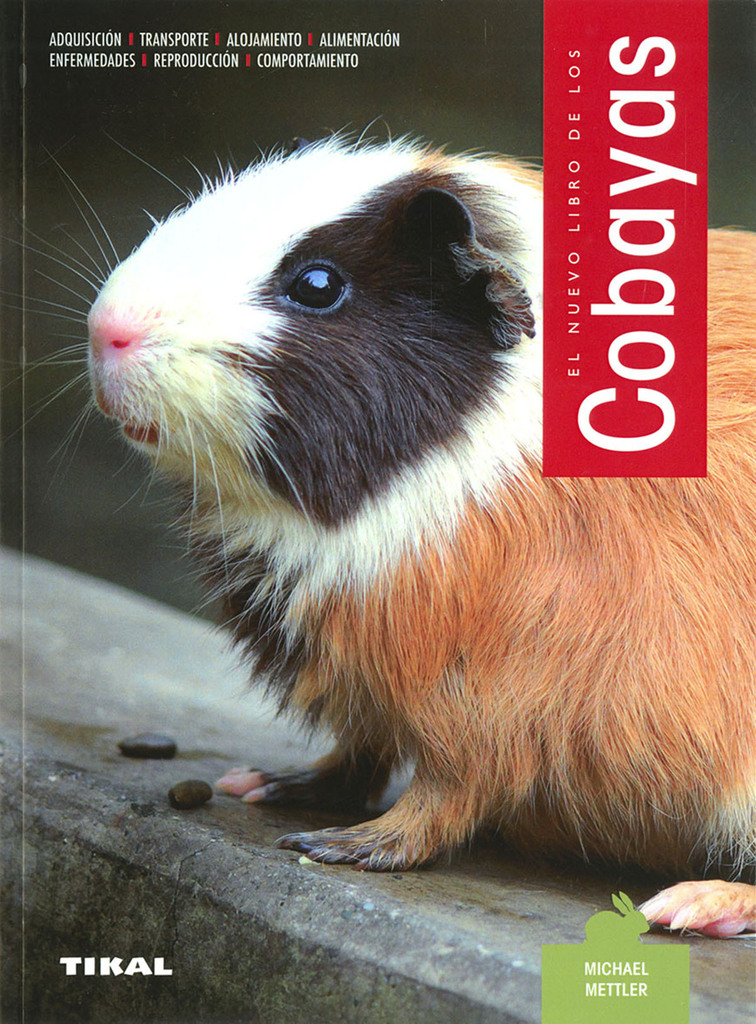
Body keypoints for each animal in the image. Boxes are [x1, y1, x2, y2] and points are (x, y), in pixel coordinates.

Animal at [87, 136, 756, 937]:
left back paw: (689, 907)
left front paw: (338, 847)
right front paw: (262, 785)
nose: (106, 331)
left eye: (318, 285)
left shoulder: (495, 702)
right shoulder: (368, 682)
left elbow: (441, 797)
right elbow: (358, 754)